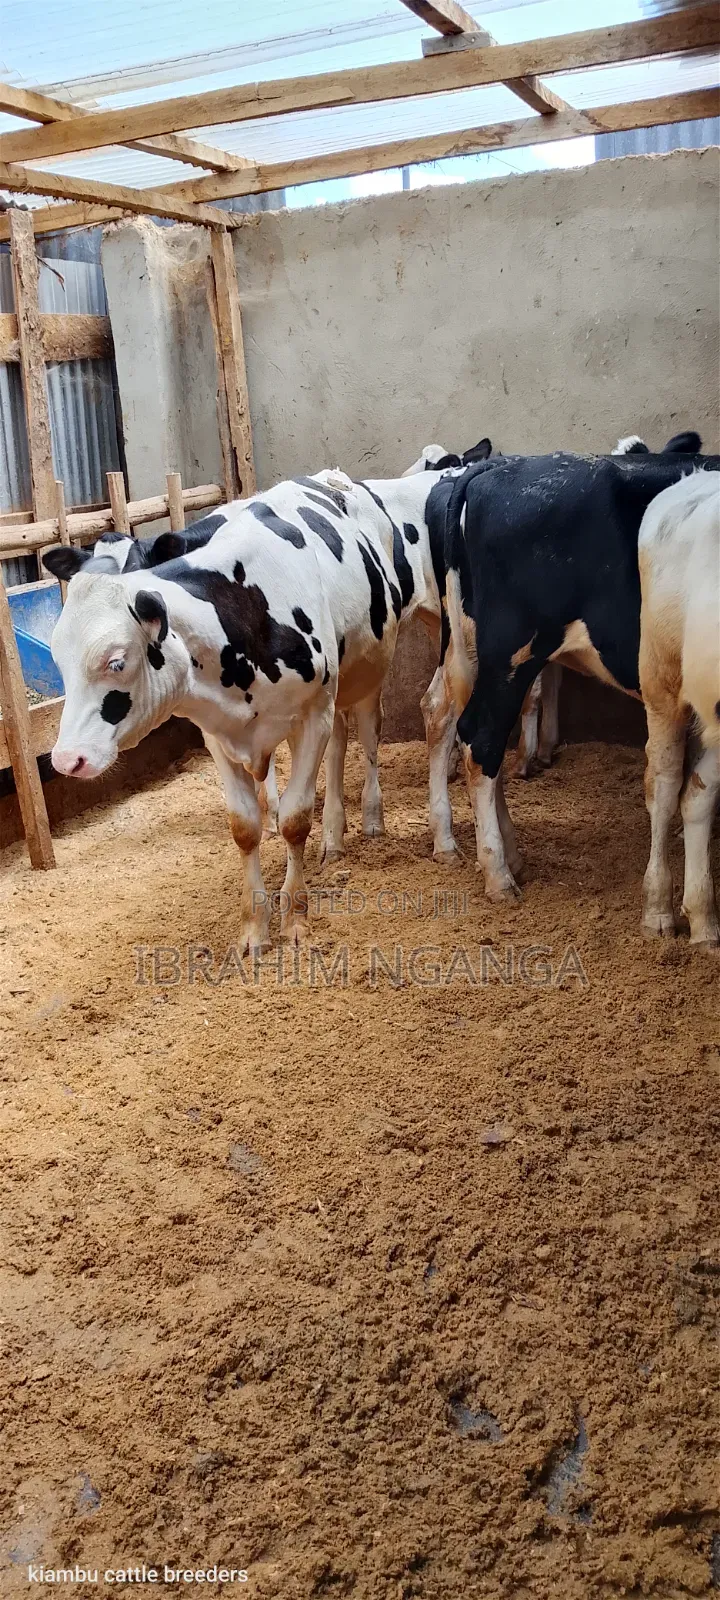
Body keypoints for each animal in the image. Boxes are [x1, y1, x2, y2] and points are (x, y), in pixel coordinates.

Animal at [438, 447, 719, 918]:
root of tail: (497, 466)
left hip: (481, 653)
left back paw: (510, 855)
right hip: (512, 651)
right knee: (481, 738)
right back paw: (499, 874)